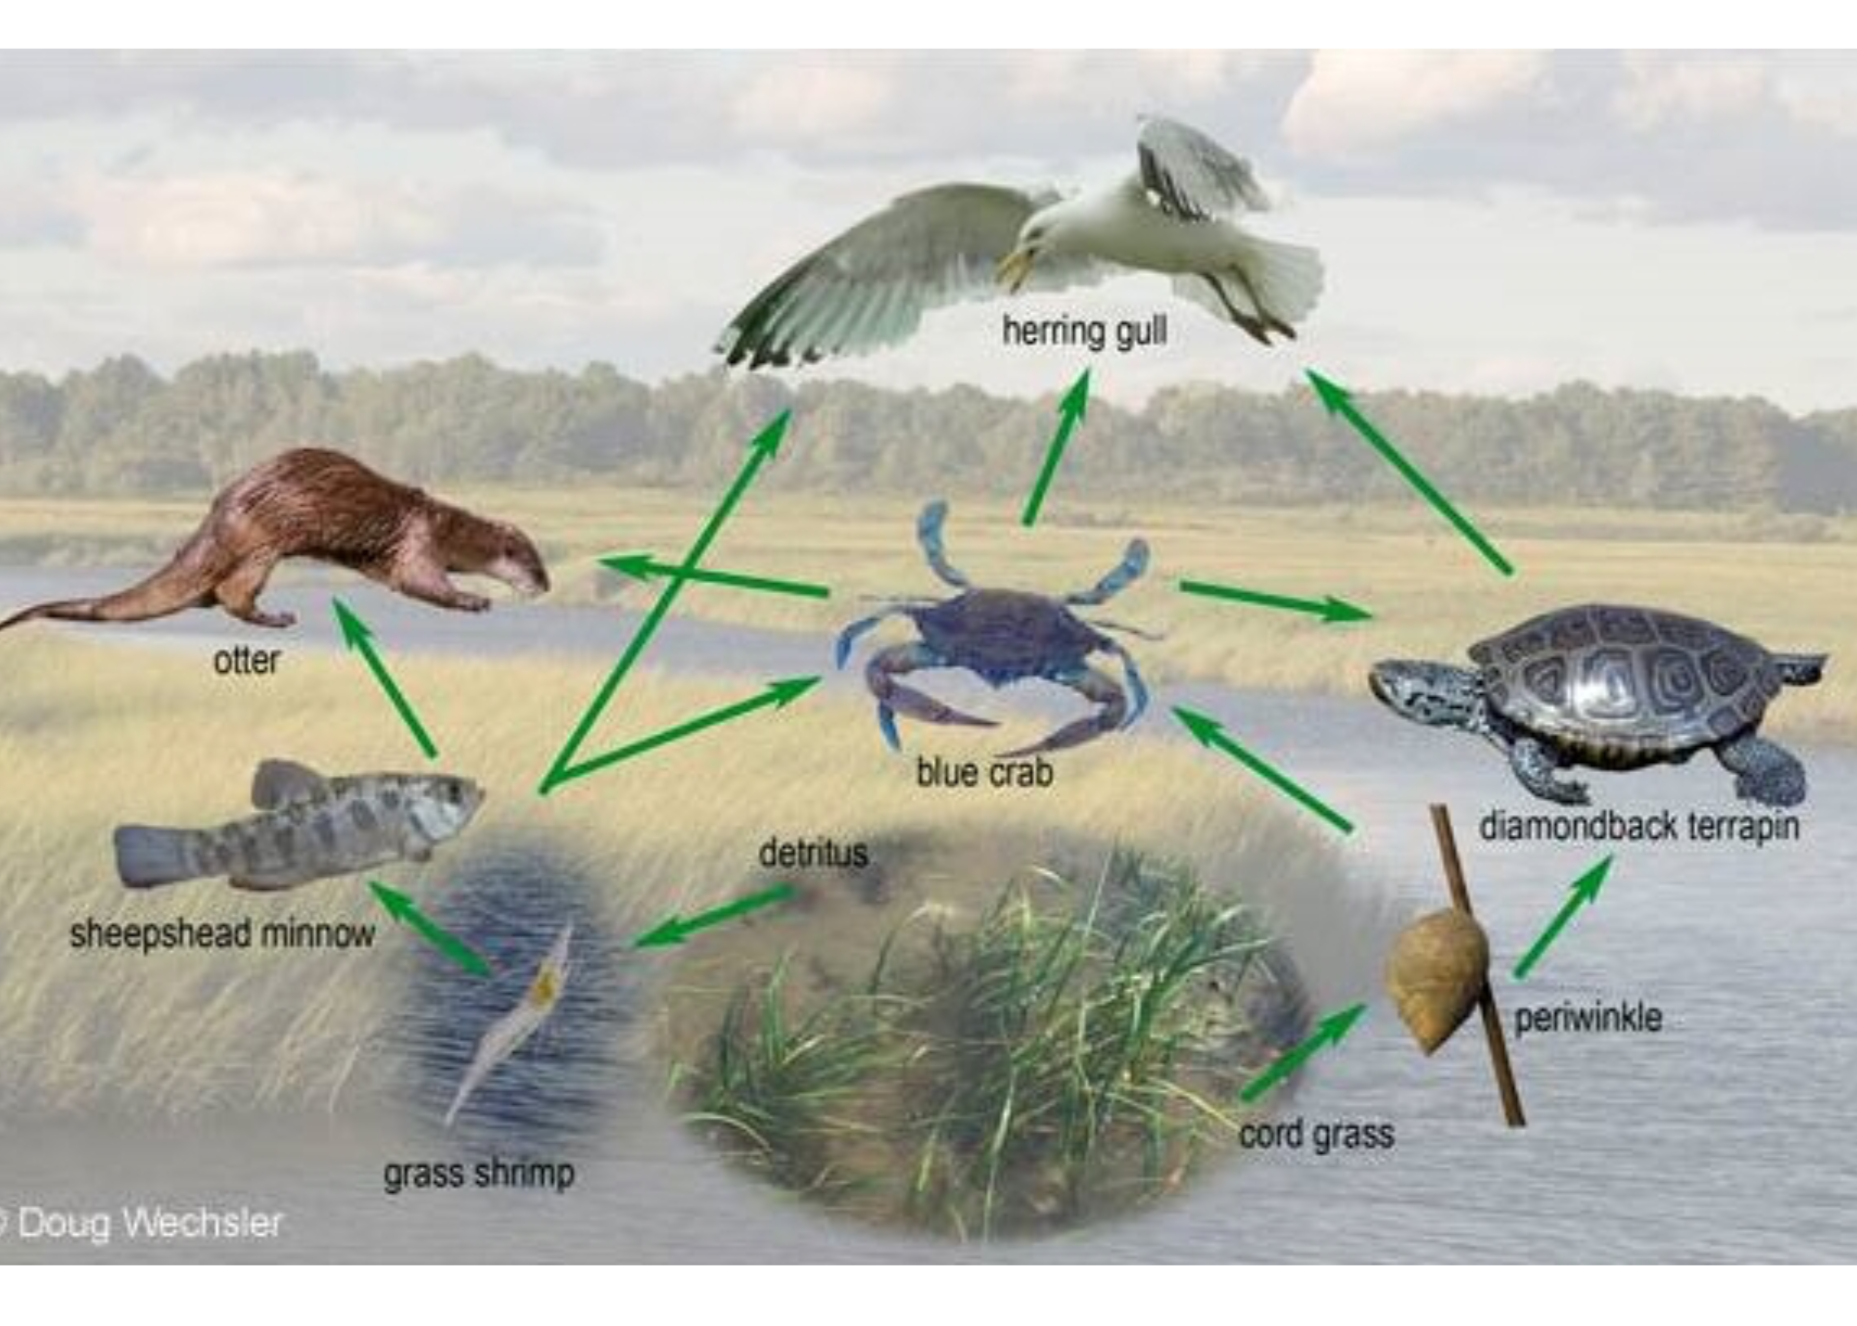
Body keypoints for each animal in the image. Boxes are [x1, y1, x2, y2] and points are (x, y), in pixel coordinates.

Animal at [0, 448, 550, 632]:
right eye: (533, 564)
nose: (545, 587)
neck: (448, 526)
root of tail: (219, 514)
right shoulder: (420, 540)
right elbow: (420, 581)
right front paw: (474, 599)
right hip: (263, 545)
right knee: (231, 593)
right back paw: (276, 617)